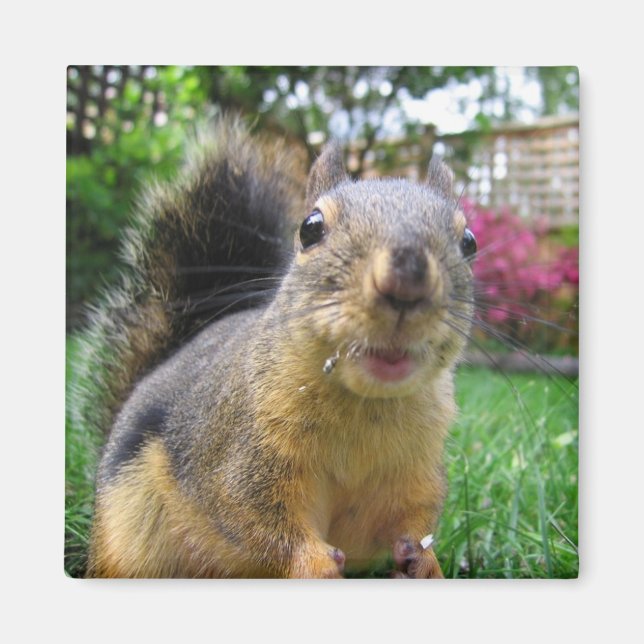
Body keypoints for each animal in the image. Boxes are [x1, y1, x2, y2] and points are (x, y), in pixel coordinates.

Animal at [79, 116, 476, 578]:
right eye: (311, 228)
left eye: (469, 241)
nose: (407, 278)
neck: (367, 405)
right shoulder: (236, 455)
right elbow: (252, 515)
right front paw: (315, 563)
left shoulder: (416, 470)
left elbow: (410, 516)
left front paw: (424, 560)